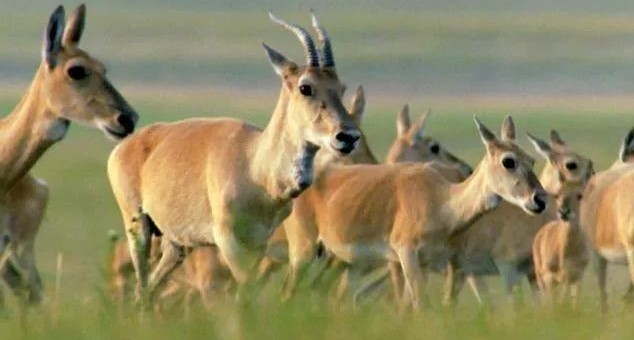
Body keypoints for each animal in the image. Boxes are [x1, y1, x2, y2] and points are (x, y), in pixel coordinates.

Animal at [106, 12, 358, 306]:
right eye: (305, 87)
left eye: (341, 86)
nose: (348, 136)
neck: (255, 166)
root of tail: (126, 146)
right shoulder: (228, 240)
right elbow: (247, 294)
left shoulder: (258, 242)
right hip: (138, 226)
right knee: (142, 285)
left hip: (178, 245)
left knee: (150, 288)